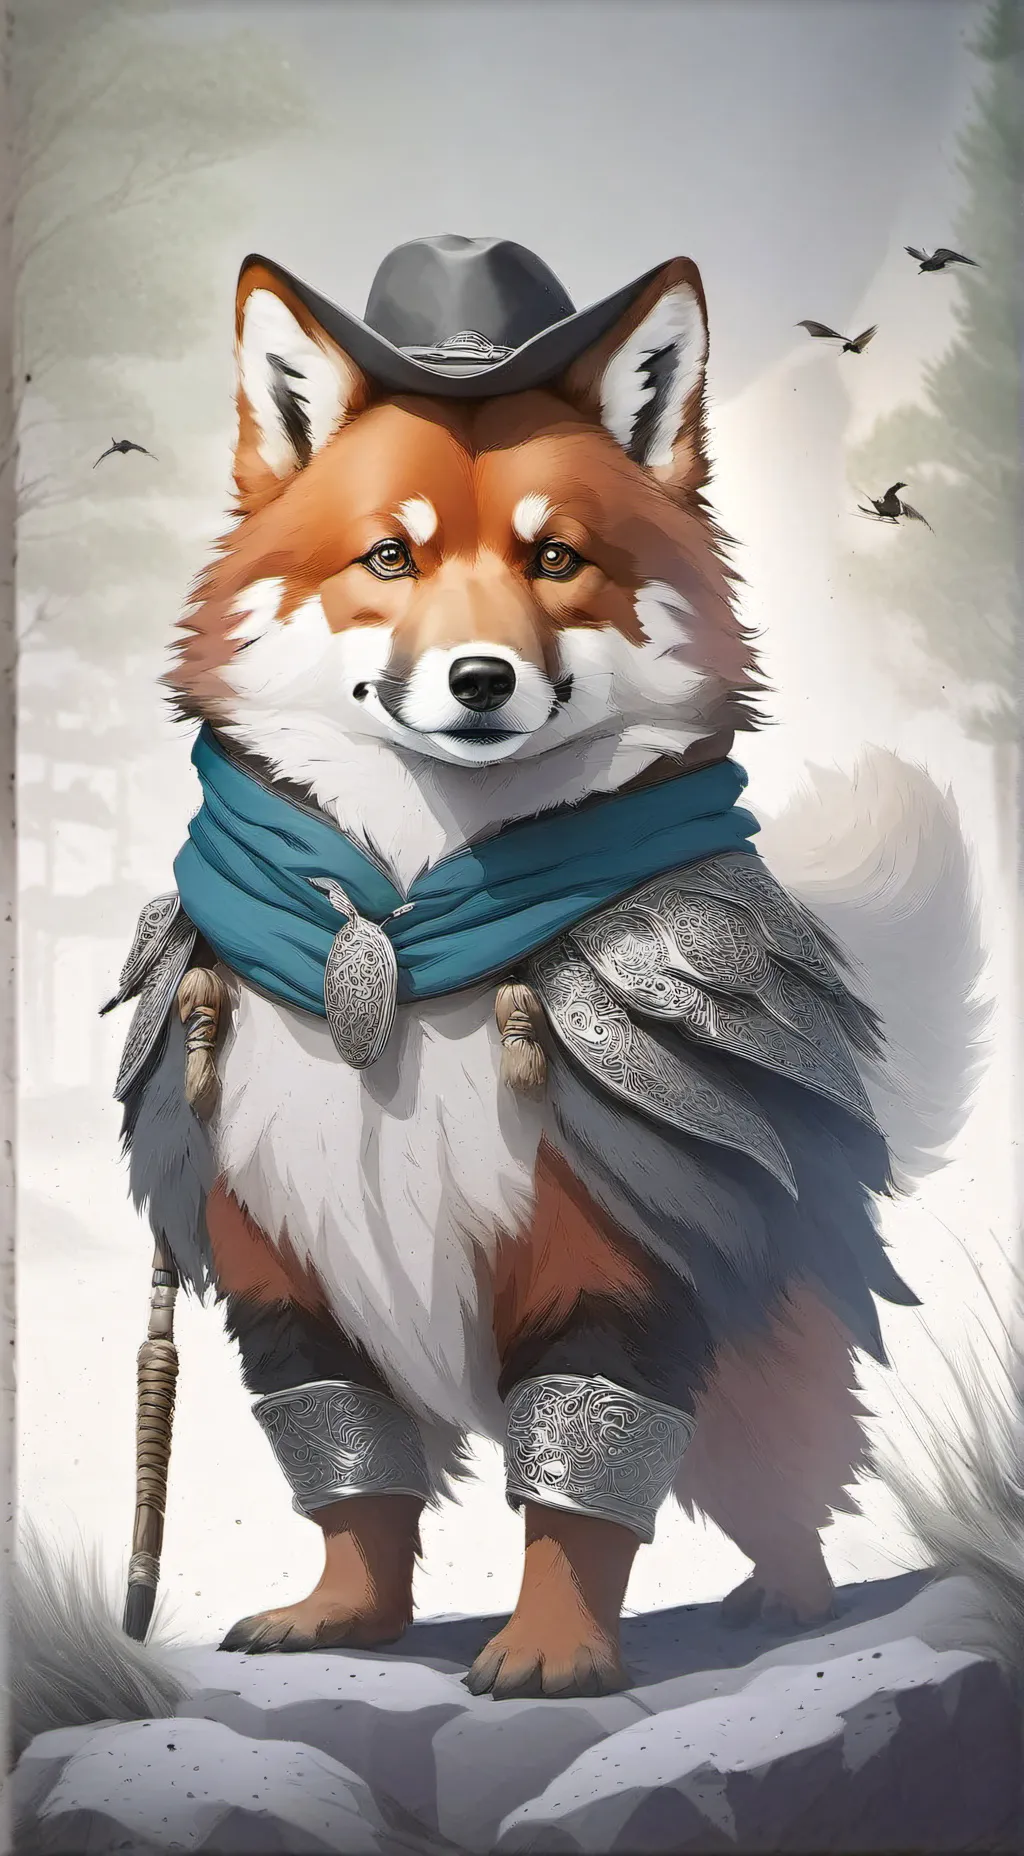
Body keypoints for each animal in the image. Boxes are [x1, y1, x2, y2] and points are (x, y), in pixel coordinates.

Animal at [95, 235, 986, 1705]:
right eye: (389, 555)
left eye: (556, 556)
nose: (479, 680)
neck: (395, 937)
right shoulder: (285, 1265)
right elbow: (352, 1471)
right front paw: (345, 1616)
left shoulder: (612, 1257)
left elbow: (580, 1485)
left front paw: (558, 1649)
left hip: (755, 1361)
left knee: (786, 1484)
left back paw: (782, 1603)